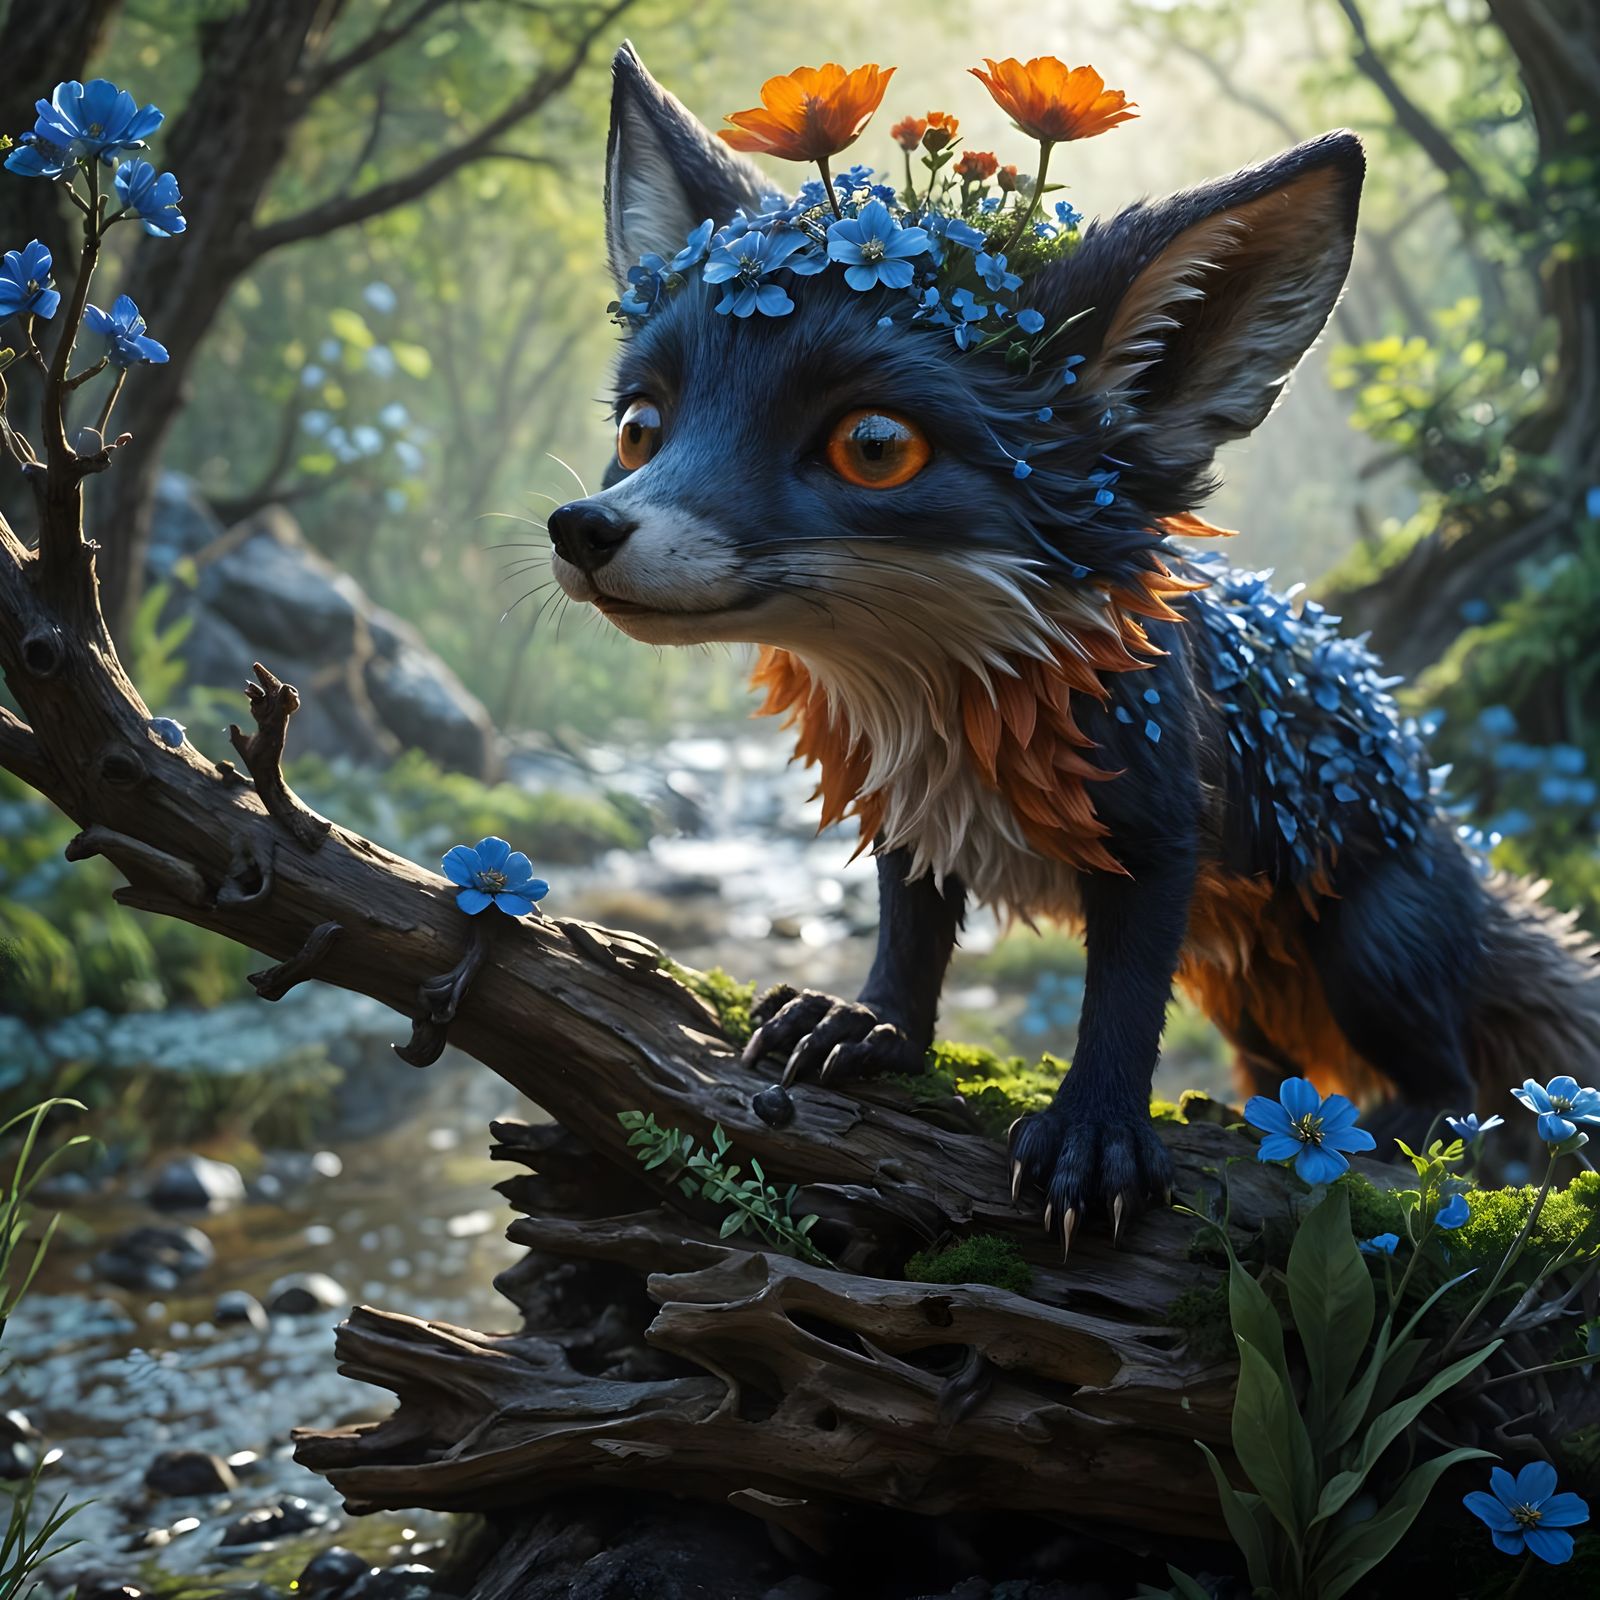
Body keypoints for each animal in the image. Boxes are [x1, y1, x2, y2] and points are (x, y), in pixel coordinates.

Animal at [547, 43, 1600, 1243]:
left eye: (874, 445)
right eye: (640, 427)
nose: (583, 530)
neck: (949, 699)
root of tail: (1457, 836)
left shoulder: (1161, 832)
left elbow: (1122, 1004)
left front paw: (1096, 1137)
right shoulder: (911, 815)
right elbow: (911, 941)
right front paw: (871, 1027)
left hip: (1372, 950)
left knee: (1448, 1083)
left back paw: (1375, 1131)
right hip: (1256, 1006)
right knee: (1301, 1071)